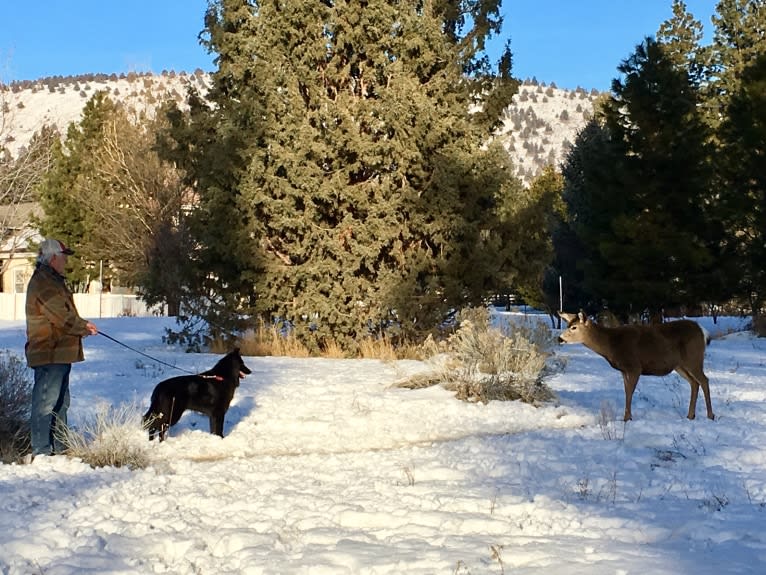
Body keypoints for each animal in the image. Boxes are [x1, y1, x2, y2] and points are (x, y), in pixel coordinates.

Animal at [560, 312, 712, 420]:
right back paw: (690, 415)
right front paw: (628, 416)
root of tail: (703, 332)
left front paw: (627, 418)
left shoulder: (634, 366)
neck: (612, 346)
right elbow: (626, 391)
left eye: (574, 327)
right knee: (694, 383)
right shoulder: (624, 370)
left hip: (693, 358)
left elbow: (629, 392)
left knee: (704, 380)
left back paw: (710, 415)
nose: (559, 338)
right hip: (680, 365)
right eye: (568, 325)